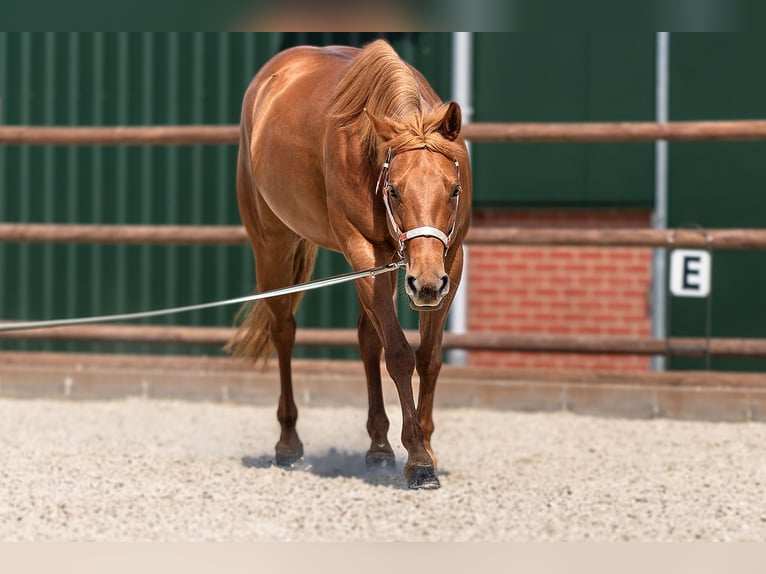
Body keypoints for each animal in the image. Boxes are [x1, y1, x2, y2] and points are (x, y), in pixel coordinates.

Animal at [225, 40, 472, 490]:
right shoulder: (363, 250)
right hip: (274, 244)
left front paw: (425, 448)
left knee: (367, 340)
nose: (426, 284)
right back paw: (288, 444)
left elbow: (428, 357)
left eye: (454, 190)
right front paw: (418, 460)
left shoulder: (451, 259)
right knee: (283, 331)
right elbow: (400, 354)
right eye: (394, 190)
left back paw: (379, 447)